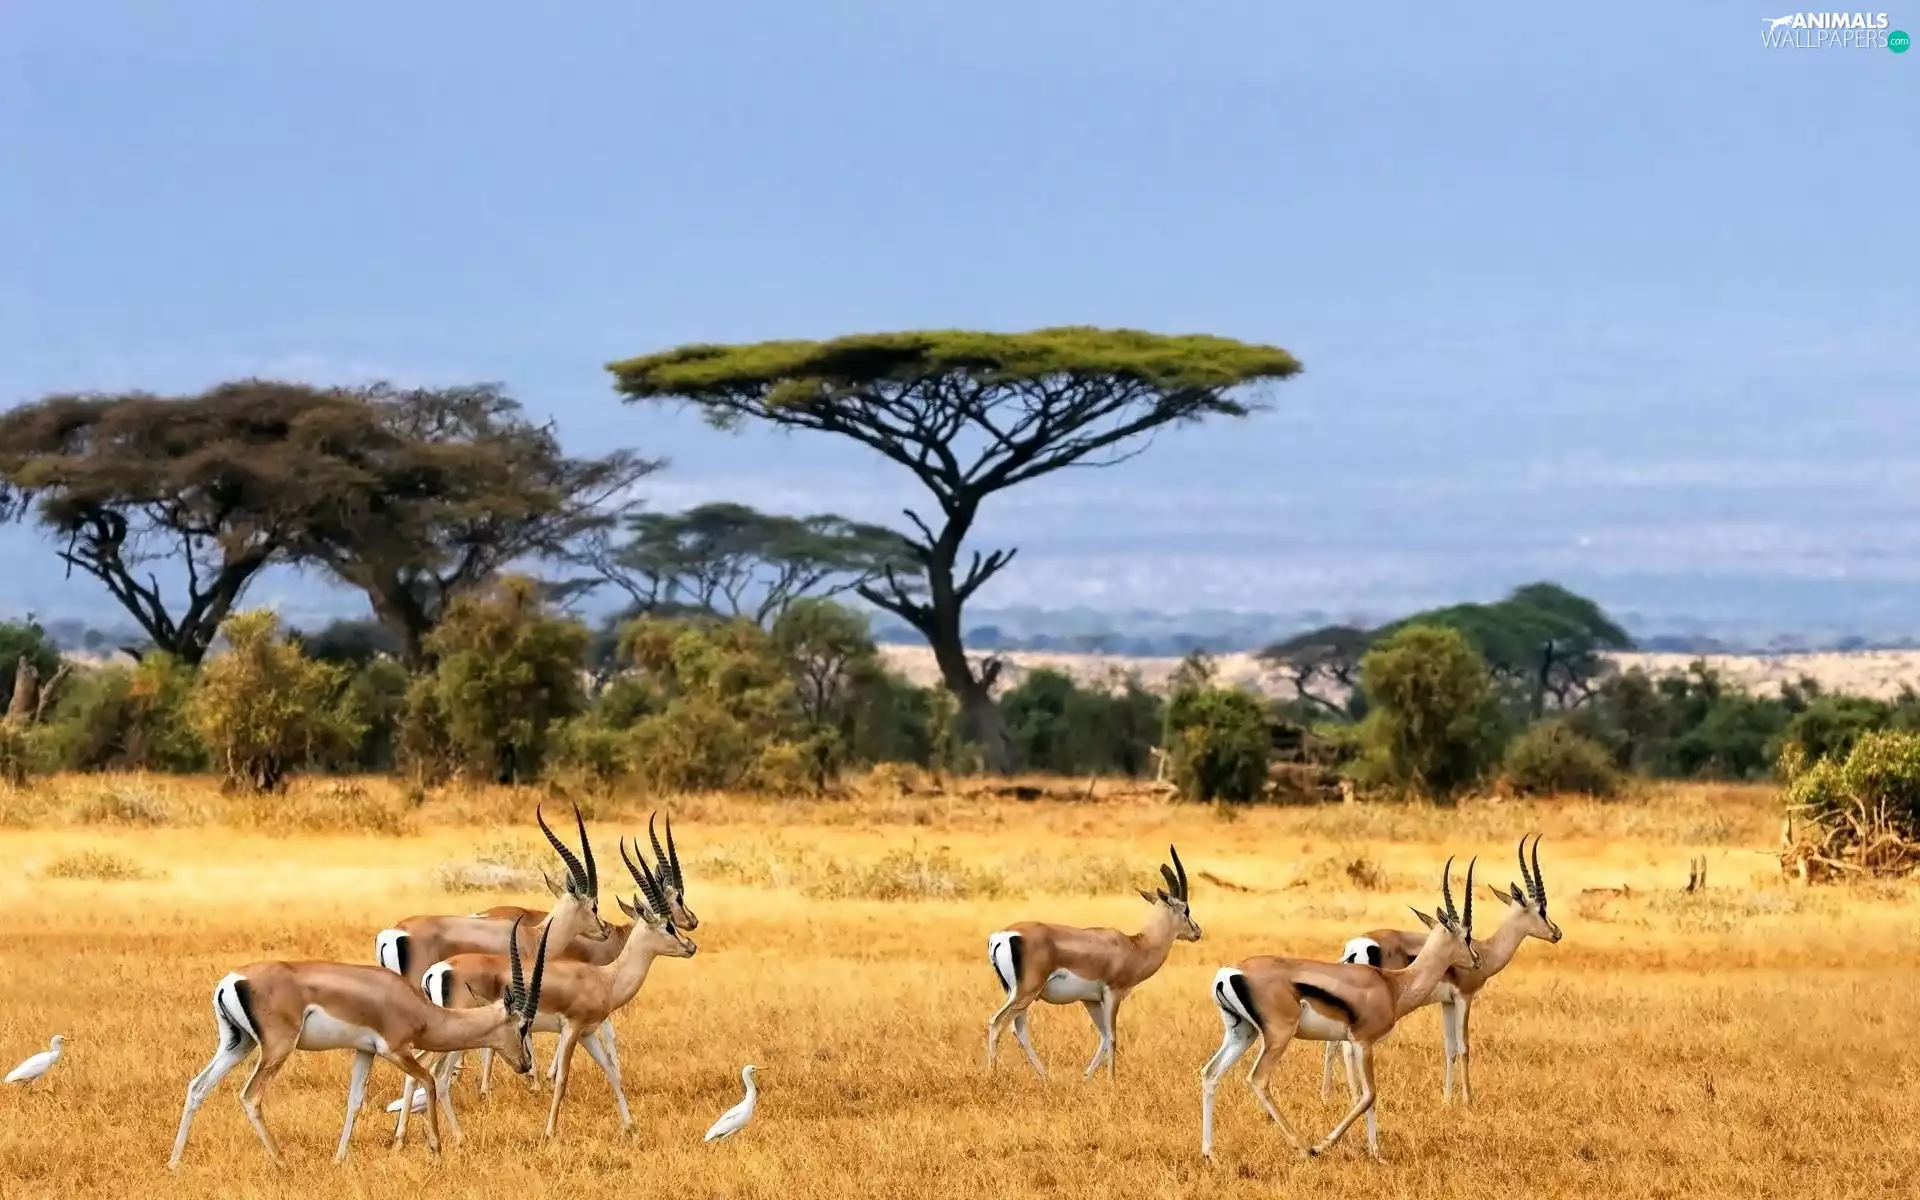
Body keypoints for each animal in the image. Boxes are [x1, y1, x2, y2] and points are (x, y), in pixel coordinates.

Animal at [168, 917, 551, 1169]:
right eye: (523, 1026)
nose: (525, 1065)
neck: (415, 1007)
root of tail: (232, 980)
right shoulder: (395, 1050)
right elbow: (427, 1080)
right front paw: (436, 1150)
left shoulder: (363, 1051)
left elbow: (355, 1101)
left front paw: (339, 1158)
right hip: (276, 1049)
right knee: (250, 1096)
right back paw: (282, 1162)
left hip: (238, 1044)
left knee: (197, 1086)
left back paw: (174, 1162)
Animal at [403, 836, 698, 1139]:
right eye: (669, 926)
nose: (691, 945)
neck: (605, 978)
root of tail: (437, 970)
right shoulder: (571, 1029)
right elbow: (562, 1079)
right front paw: (549, 1131)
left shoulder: (587, 1033)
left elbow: (611, 1071)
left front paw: (630, 1125)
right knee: (437, 1075)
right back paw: (457, 1136)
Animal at [986, 845, 1201, 1080]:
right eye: (1186, 910)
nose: (1197, 932)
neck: (1135, 947)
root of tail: (1002, 935)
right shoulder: (1112, 993)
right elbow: (1113, 1037)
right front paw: (1111, 1081)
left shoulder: (1090, 1000)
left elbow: (1104, 1037)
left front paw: (1086, 1078)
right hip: (1026, 993)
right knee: (997, 1023)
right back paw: (992, 1076)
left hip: (1019, 995)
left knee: (1019, 1029)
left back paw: (1046, 1077)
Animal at [1200, 858, 1480, 1162]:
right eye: (1466, 935)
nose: (1477, 961)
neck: (1393, 985)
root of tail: (1229, 973)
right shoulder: (1363, 1042)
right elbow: (1368, 1095)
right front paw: (1324, 1145)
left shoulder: (1356, 1044)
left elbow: (1368, 1099)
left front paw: (1375, 1152)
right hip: (1277, 1037)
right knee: (1259, 1080)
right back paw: (1303, 1148)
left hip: (1242, 1034)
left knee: (1210, 1074)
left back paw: (1209, 1153)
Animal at [1319, 834, 1561, 1105]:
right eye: (1542, 909)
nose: (1557, 933)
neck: (1486, 949)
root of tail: (1354, 946)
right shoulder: (1464, 997)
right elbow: (1464, 1046)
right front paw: (1467, 1099)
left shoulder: (1446, 1002)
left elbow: (1449, 1048)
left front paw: (1447, 1099)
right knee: (1346, 1046)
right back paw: (1353, 1096)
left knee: (1332, 1043)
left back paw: (1327, 1096)